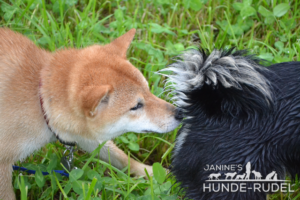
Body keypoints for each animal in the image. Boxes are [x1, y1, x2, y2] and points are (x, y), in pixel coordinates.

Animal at [0, 28, 183, 200]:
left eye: (148, 90)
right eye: (136, 106)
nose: (180, 113)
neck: (40, 99)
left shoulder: (87, 137)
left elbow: (122, 158)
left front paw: (157, 173)